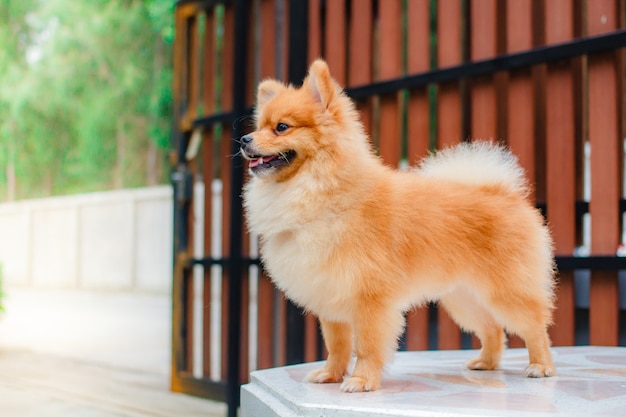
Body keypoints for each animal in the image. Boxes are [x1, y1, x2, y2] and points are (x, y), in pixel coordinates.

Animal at [238, 60, 552, 392]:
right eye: (258, 126)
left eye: (281, 127)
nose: (244, 140)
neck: (325, 193)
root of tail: (502, 191)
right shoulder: (330, 294)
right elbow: (337, 345)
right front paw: (331, 374)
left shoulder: (370, 299)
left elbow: (366, 345)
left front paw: (361, 380)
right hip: (463, 297)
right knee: (492, 327)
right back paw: (486, 363)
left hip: (506, 292)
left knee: (534, 325)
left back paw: (541, 366)